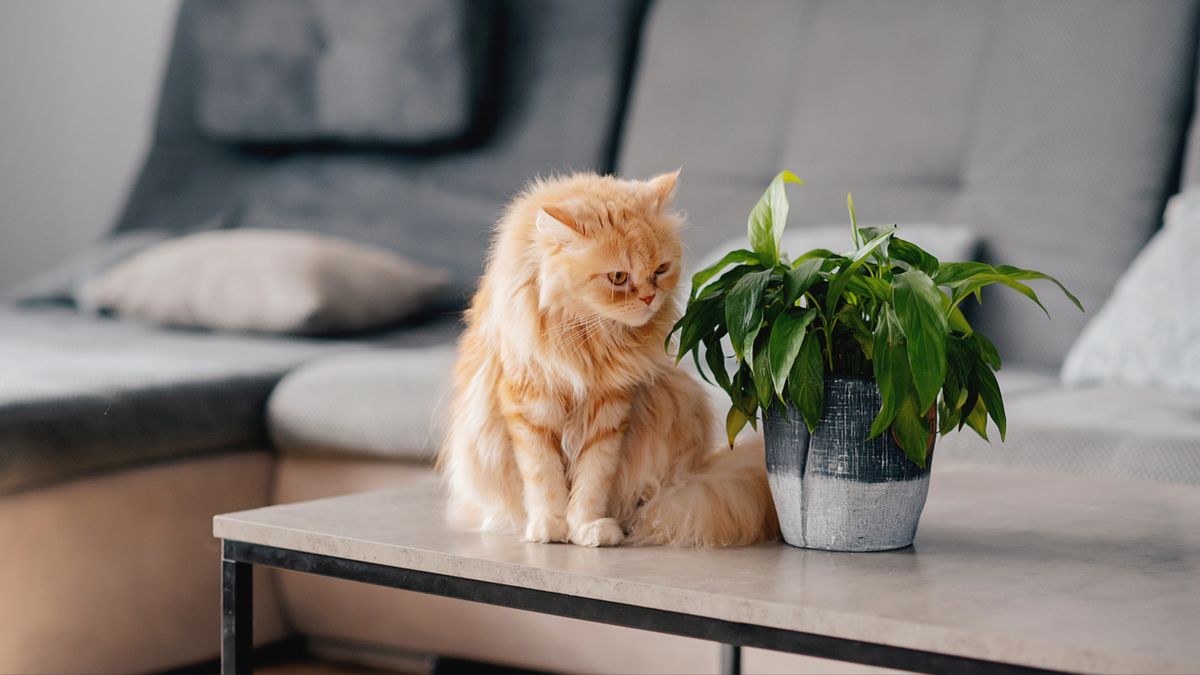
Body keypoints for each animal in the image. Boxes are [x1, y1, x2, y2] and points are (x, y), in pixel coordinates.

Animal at [439, 170, 777, 542]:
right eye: (618, 277)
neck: (590, 338)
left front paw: (588, 527)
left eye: (660, 270)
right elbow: (544, 477)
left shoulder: (611, 411)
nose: (648, 298)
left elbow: (593, 479)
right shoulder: (530, 406)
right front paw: (550, 526)